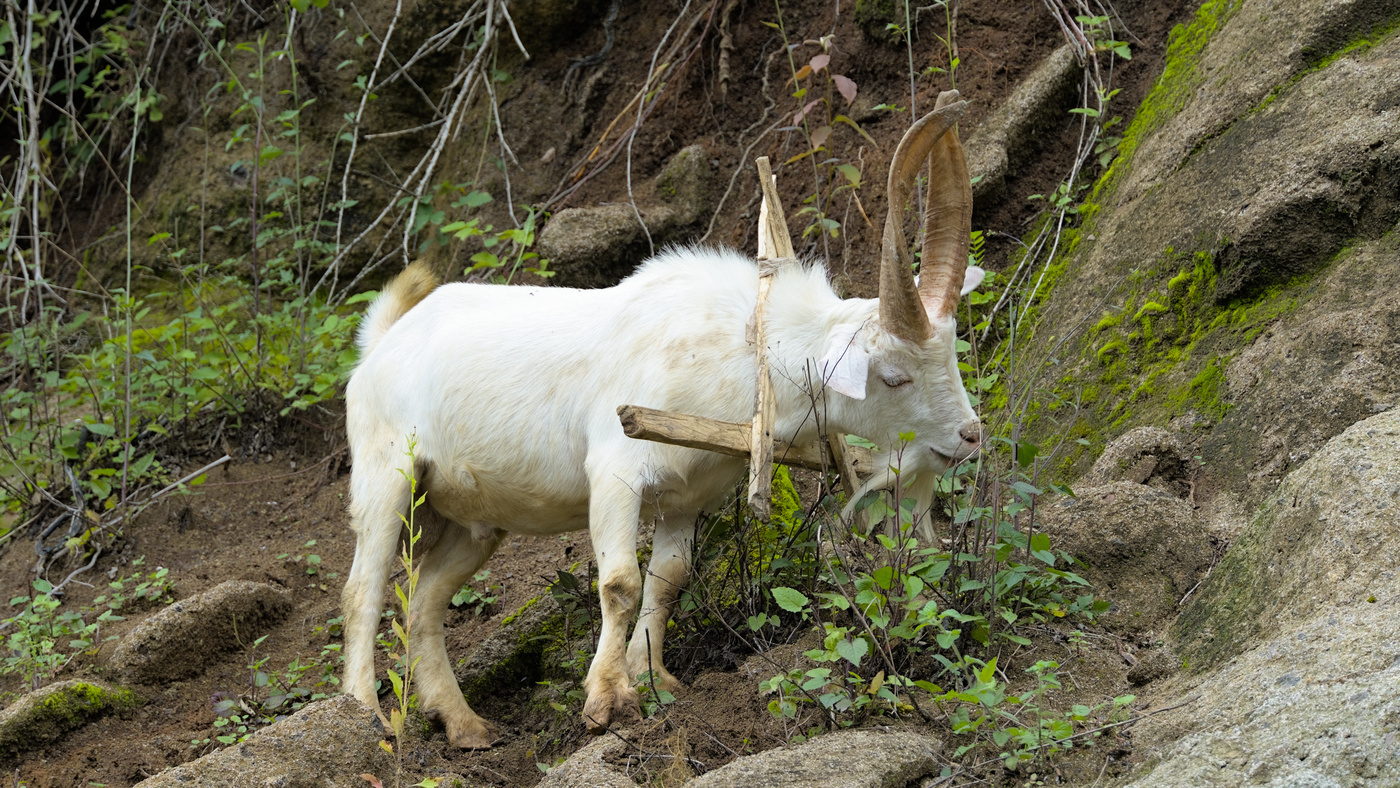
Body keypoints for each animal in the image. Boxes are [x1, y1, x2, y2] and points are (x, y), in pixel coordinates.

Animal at [340, 90, 983, 748]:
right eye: (895, 375)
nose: (969, 436)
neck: (742, 350)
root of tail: (381, 346)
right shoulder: (615, 472)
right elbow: (620, 583)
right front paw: (608, 698)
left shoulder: (688, 495)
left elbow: (669, 579)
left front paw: (654, 678)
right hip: (387, 473)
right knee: (364, 588)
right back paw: (361, 711)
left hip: (470, 519)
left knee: (424, 600)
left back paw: (463, 722)